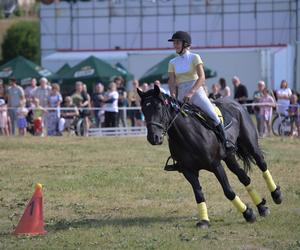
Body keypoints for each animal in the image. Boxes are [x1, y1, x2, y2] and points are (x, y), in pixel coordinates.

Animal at [137, 86, 282, 229]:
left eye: (158, 107)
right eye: (143, 109)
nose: (153, 138)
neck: (188, 135)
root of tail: (236, 104)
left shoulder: (216, 165)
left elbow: (228, 191)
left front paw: (248, 214)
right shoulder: (188, 171)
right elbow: (199, 194)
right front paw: (204, 221)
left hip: (251, 146)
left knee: (262, 164)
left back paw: (276, 195)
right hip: (229, 157)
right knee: (244, 177)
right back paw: (262, 207)